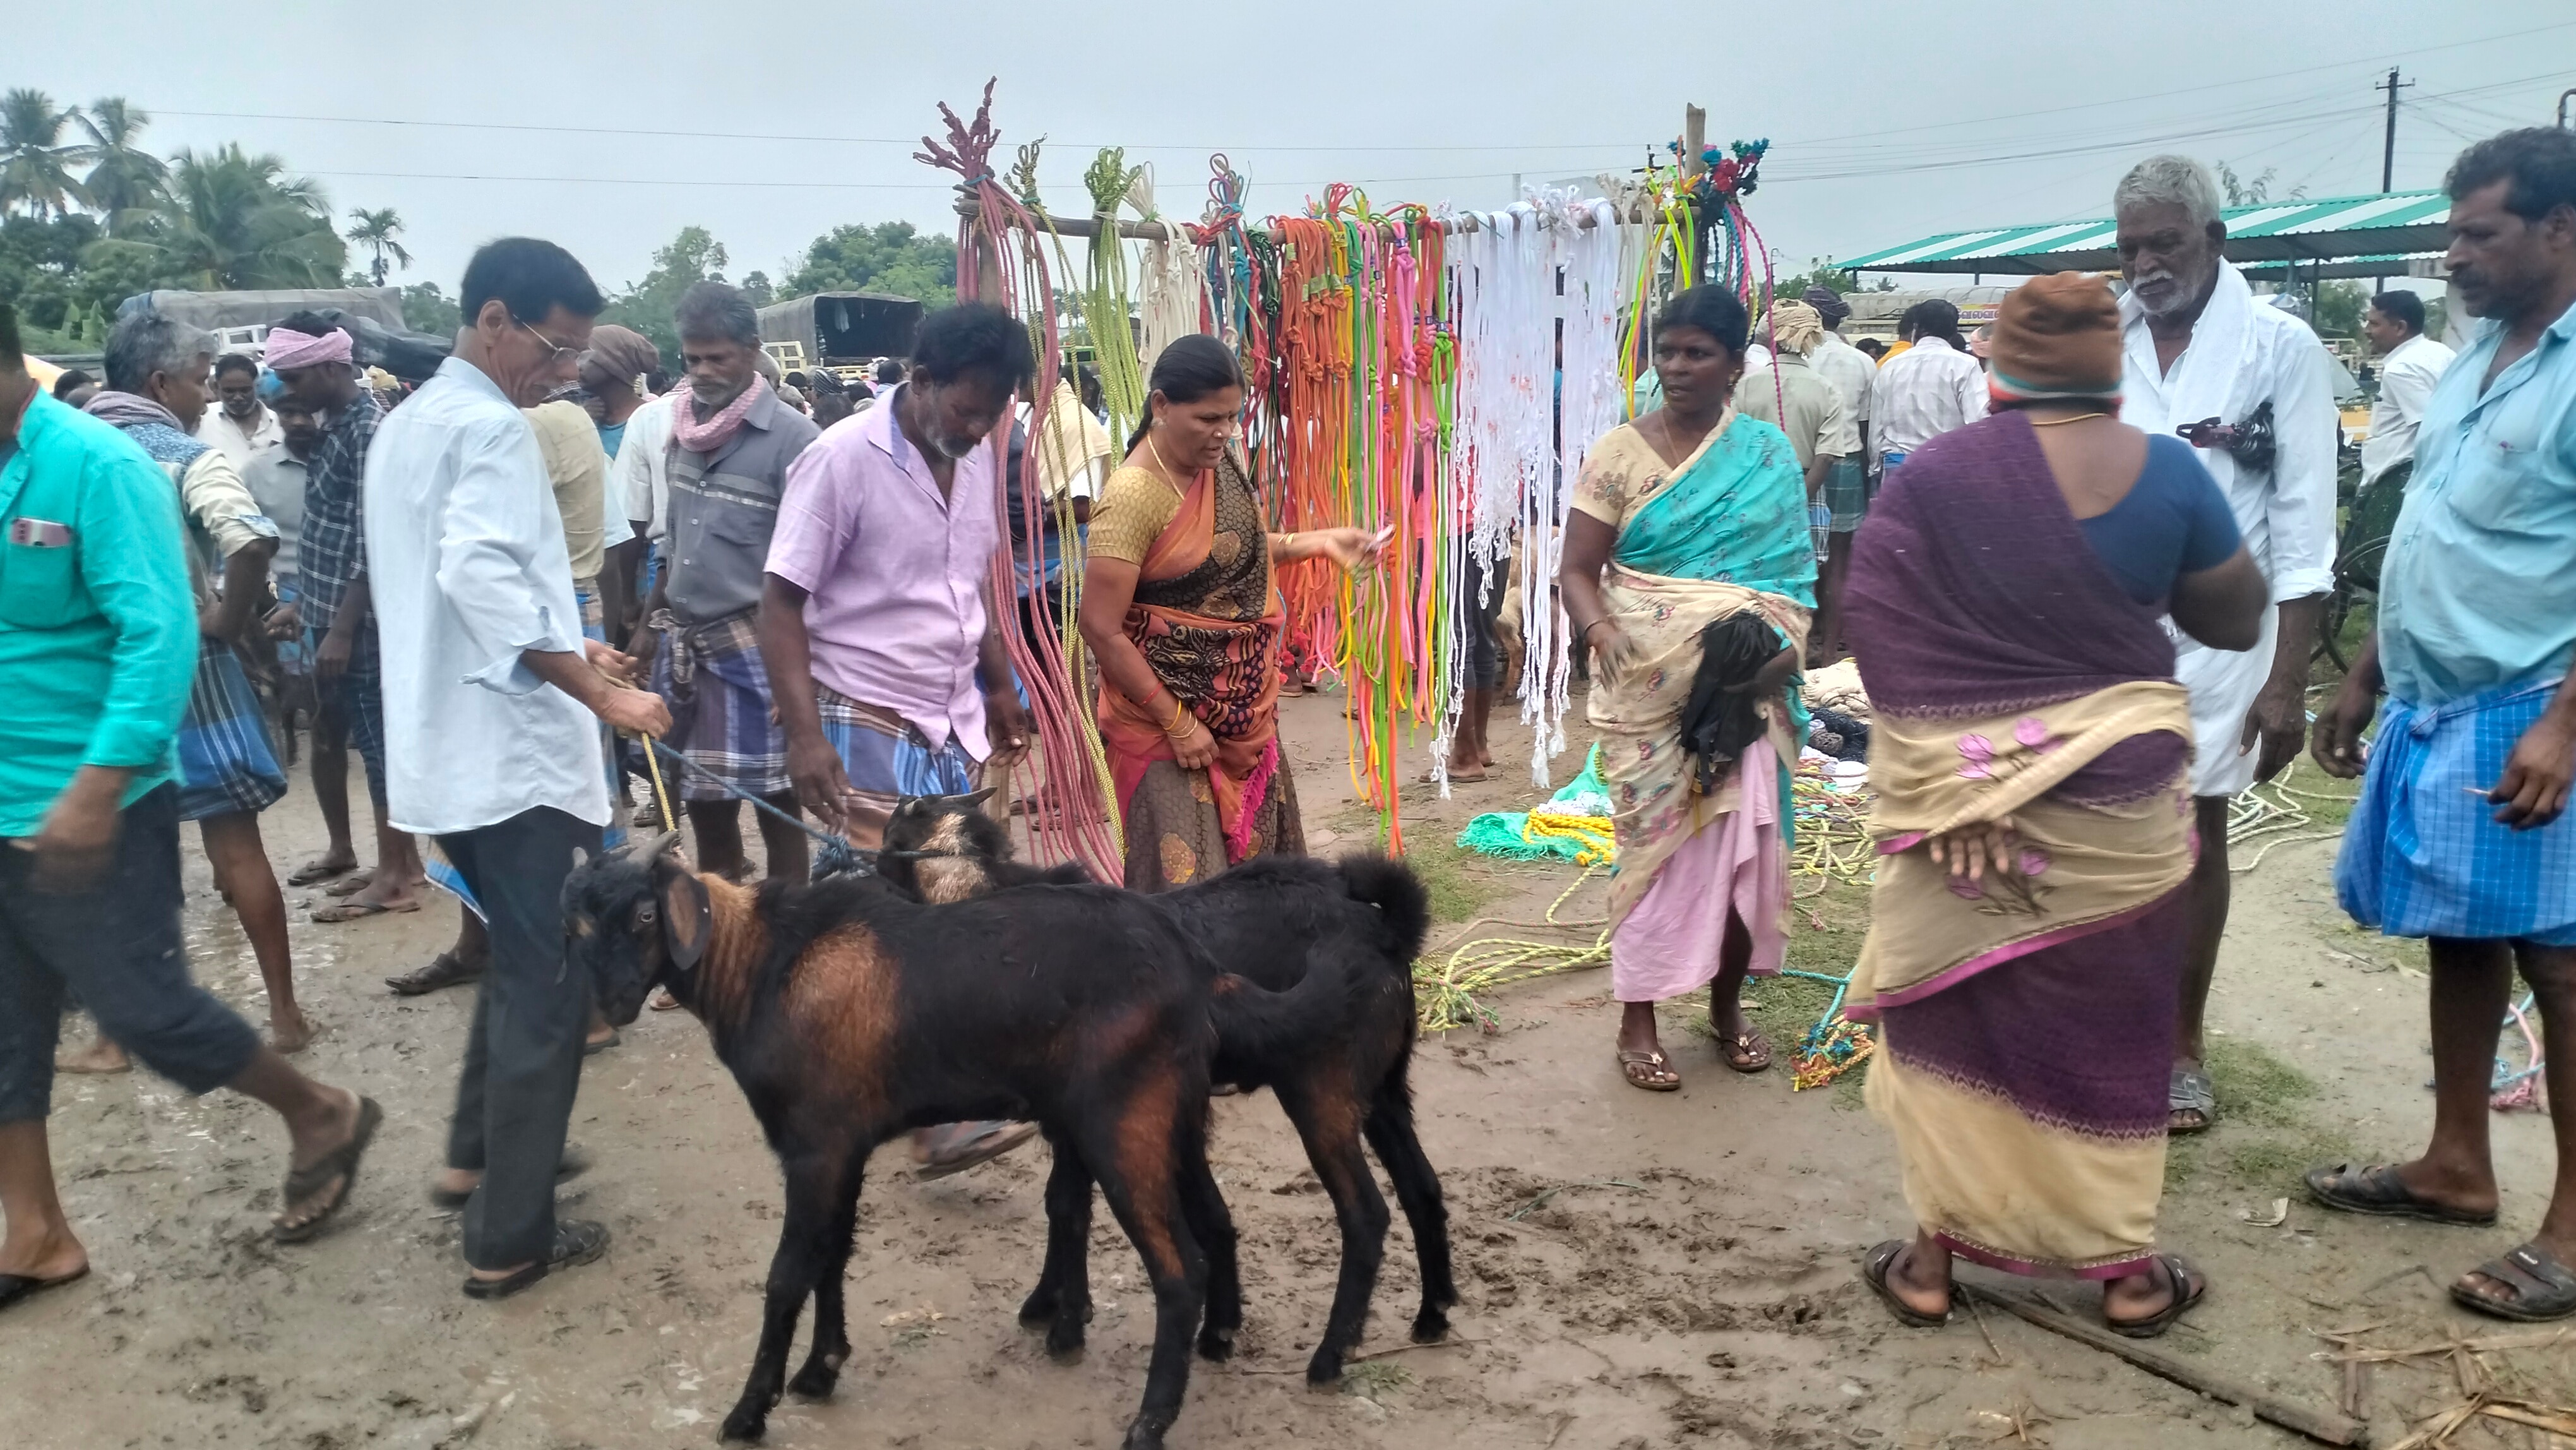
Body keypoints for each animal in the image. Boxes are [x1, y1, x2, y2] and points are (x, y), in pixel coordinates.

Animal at [566, 834, 1329, 1450]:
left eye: (644, 915)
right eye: (578, 924)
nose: (613, 1003)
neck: (762, 969)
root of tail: (1196, 967)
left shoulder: (812, 1147)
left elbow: (788, 1273)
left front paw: (749, 1412)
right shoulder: (845, 1146)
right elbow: (832, 1255)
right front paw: (822, 1369)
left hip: (1123, 1123)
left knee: (1179, 1270)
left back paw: (1149, 1421)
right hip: (1170, 1117)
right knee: (1210, 1226)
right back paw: (1212, 1341)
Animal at [881, 798, 1453, 1391]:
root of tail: (1384, 926)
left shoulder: (1078, 1116)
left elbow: (1067, 1208)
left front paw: (1064, 1324)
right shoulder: (1079, 1119)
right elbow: (1070, 1203)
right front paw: (1054, 1306)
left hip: (1321, 1090)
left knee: (1365, 1214)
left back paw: (1330, 1355)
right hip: (1384, 1088)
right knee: (1421, 1187)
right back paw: (1432, 1315)